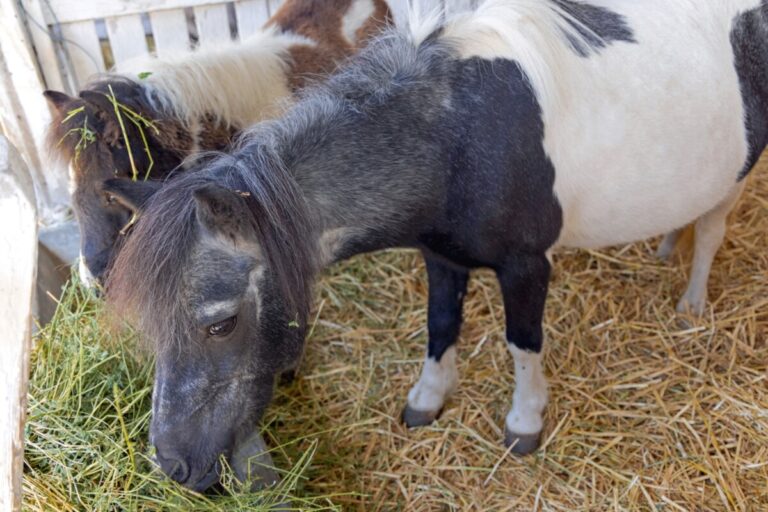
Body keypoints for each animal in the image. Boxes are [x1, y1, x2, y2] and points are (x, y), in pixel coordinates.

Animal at [106, 0, 768, 488]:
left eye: (219, 323)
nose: (172, 466)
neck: (456, 139)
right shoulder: (441, 257)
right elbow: (441, 325)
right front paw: (427, 400)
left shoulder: (527, 267)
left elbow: (522, 342)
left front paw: (524, 421)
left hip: (738, 177)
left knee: (713, 229)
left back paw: (691, 304)